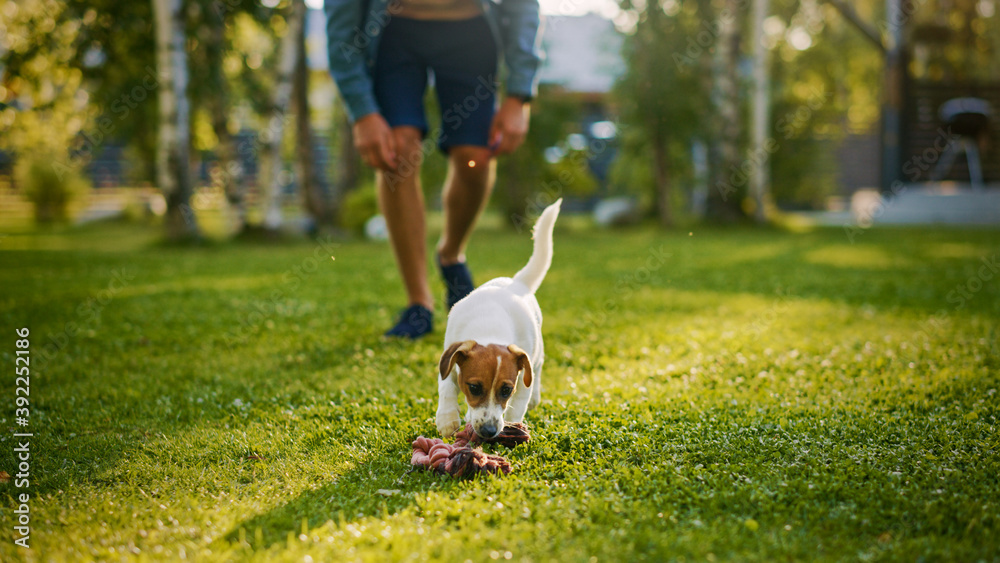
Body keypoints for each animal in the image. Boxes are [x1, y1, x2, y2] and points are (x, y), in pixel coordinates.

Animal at [436, 198, 564, 440]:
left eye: (506, 390)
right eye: (474, 388)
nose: (489, 431)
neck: (490, 328)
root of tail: (517, 281)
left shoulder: (522, 379)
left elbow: (518, 405)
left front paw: (514, 427)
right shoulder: (450, 357)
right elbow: (446, 386)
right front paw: (447, 420)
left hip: (537, 355)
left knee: (537, 372)